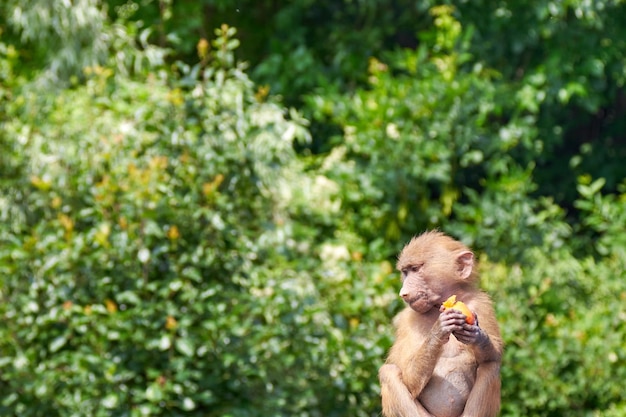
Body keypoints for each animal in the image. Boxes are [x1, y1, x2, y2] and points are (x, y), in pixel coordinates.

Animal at [376, 231, 502, 416]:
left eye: (416, 269)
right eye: (405, 272)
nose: (403, 293)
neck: (437, 307)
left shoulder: (481, 304)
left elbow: (494, 356)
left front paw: (476, 335)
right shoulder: (406, 320)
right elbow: (408, 378)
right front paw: (439, 330)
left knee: (491, 367)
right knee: (388, 372)